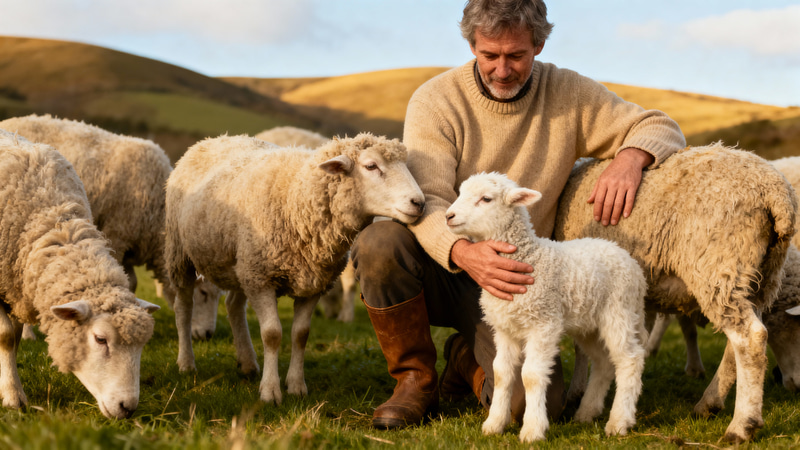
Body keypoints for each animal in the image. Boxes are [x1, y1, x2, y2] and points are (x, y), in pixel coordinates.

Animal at [0, 129, 159, 418]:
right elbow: (5, 337)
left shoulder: (16, 289)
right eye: (100, 339)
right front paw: (13, 395)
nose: (128, 408)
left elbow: (14, 339)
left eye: (142, 346)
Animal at [165, 133, 425, 404]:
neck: (298, 197)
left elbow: (301, 334)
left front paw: (297, 386)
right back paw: (186, 363)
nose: (419, 203)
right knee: (183, 308)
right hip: (182, 255)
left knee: (234, 307)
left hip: (241, 263)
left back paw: (247, 363)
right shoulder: (263, 279)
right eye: (371, 166)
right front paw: (270, 391)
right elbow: (272, 334)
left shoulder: (313, 283)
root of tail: (213, 139)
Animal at [445, 172, 648, 442]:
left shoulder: (543, 324)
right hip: (589, 325)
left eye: (486, 199)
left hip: (619, 312)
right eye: (460, 192)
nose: (448, 216)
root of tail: (632, 265)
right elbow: (501, 373)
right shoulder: (505, 329)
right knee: (603, 363)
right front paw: (494, 424)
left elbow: (531, 376)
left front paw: (532, 429)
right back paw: (587, 412)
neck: (530, 257)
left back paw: (619, 421)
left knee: (629, 360)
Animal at [553, 143, 798, 443]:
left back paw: (741, 426)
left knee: (749, 338)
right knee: (740, 341)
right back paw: (709, 403)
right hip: (760, 277)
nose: (798, 385)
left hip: (719, 267)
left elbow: (581, 345)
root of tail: (776, 194)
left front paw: (578, 394)